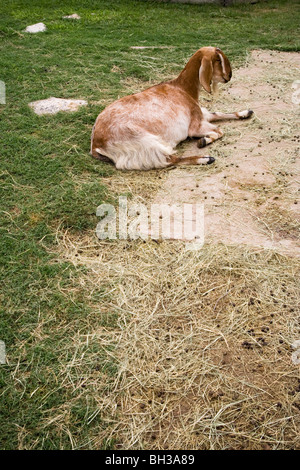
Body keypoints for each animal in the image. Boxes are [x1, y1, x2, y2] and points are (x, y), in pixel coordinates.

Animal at [91, 46, 253, 170]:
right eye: (218, 60)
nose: (229, 76)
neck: (183, 89)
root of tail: (96, 144)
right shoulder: (195, 125)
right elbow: (219, 130)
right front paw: (204, 140)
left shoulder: (201, 114)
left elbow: (217, 113)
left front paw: (246, 112)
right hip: (144, 142)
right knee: (168, 159)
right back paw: (206, 158)